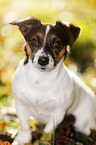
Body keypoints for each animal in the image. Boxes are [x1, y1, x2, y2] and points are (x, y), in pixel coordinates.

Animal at [10, 16, 95, 144]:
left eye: (57, 44)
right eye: (33, 42)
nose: (43, 60)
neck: (40, 78)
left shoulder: (58, 113)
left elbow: (47, 131)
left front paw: (44, 141)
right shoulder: (20, 105)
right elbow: (24, 126)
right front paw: (22, 140)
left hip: (82, 121)